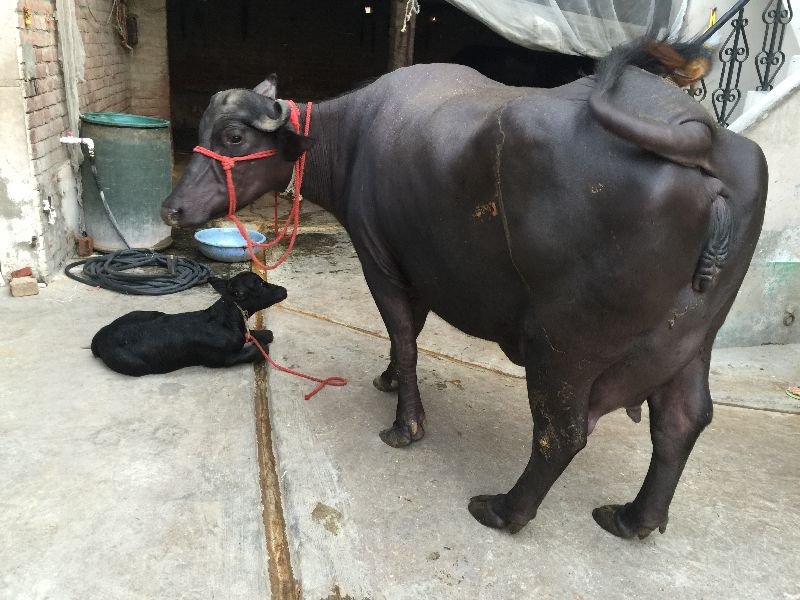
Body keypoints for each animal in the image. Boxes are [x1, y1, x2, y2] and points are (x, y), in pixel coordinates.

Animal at [162, 36, 767, 538]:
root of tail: (700, 147)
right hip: (693, 341)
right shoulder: (422, 266)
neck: (354, 137)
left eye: (234, 136)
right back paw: (632, 518)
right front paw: (388, 379)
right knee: (683, 420)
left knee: (563, 431)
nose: (173, 208)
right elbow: (409, 332)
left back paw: (504, 510)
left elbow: (405, 336)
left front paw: (405, 423)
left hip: (563, 344)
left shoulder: (380, 261)